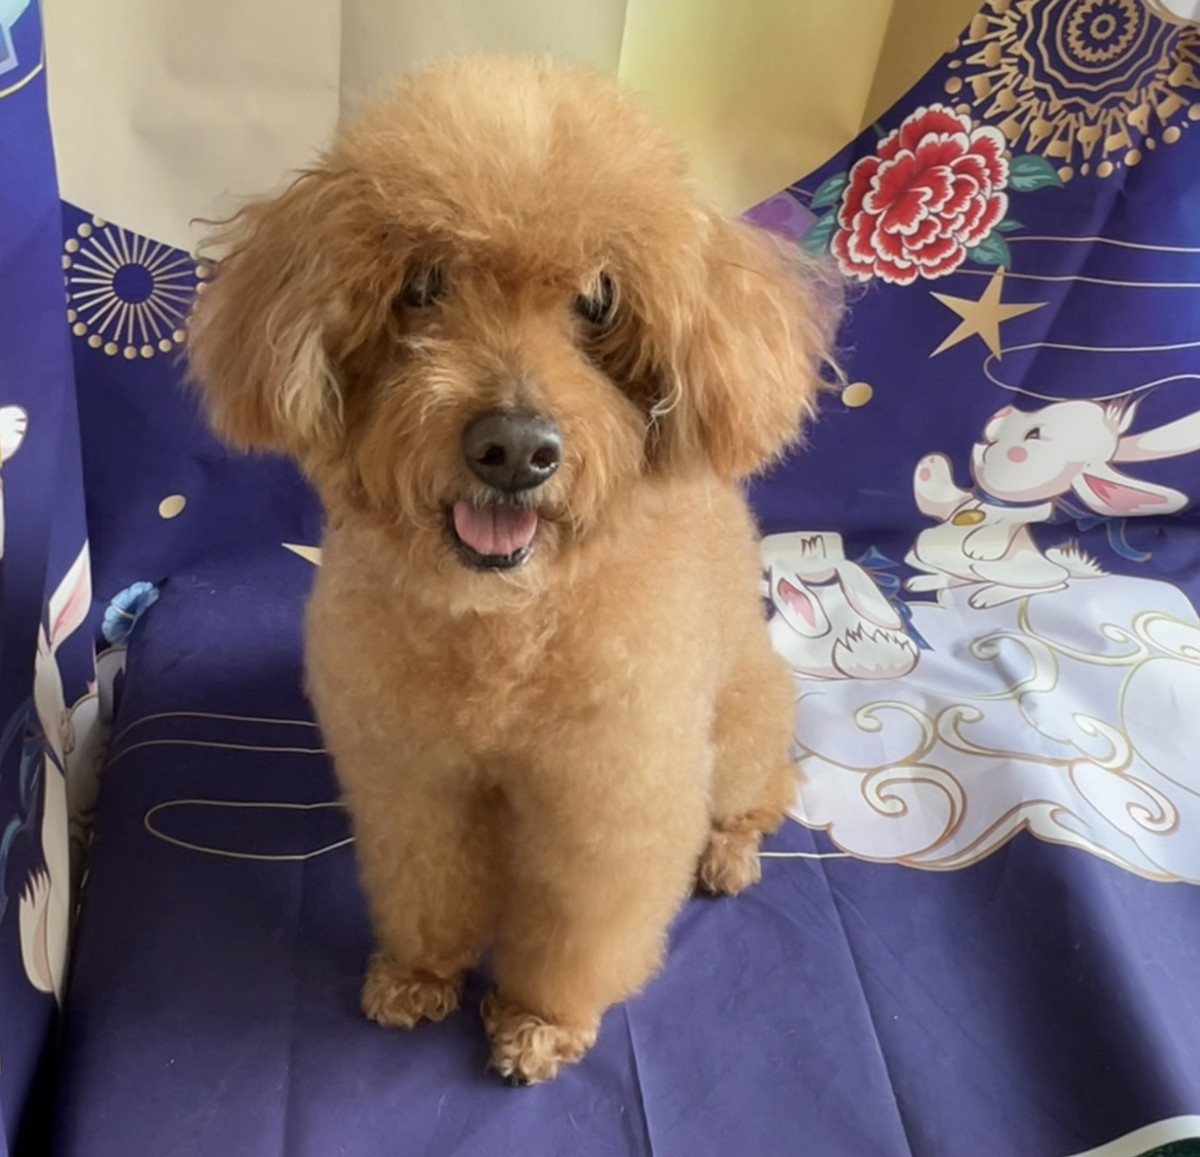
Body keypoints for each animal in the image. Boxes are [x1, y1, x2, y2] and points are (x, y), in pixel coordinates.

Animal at [188, 55, 838, 1084]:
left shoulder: (608, 797)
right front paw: (419, 976)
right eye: (423, 284)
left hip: (741, 729)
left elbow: (579, 926)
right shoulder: (414, 776)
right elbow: (427, 882)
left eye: (599, 300)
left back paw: (729, 854)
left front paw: (538, 1021)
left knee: (765, 792)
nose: (515, 447)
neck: (504, 627)